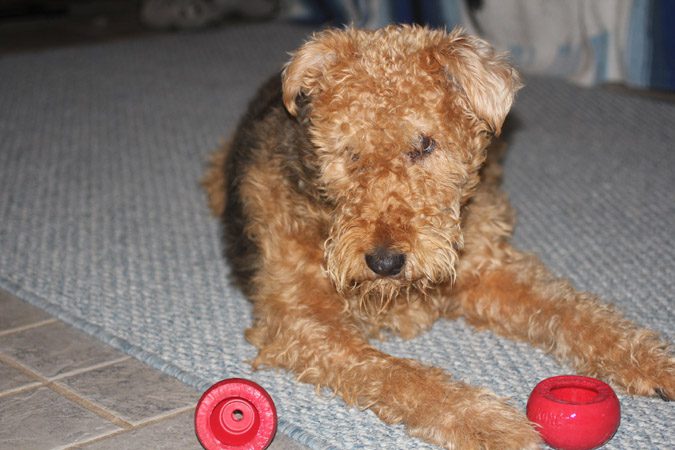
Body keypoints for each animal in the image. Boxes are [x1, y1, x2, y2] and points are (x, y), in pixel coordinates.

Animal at [202, 25, 675, 450]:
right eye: (349, 152)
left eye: (425, 144)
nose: (385, 263)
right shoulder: (304, 321)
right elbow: (401, 376)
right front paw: (490, 425)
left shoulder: (488, 272)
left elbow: (574, 312)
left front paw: (657, 363)